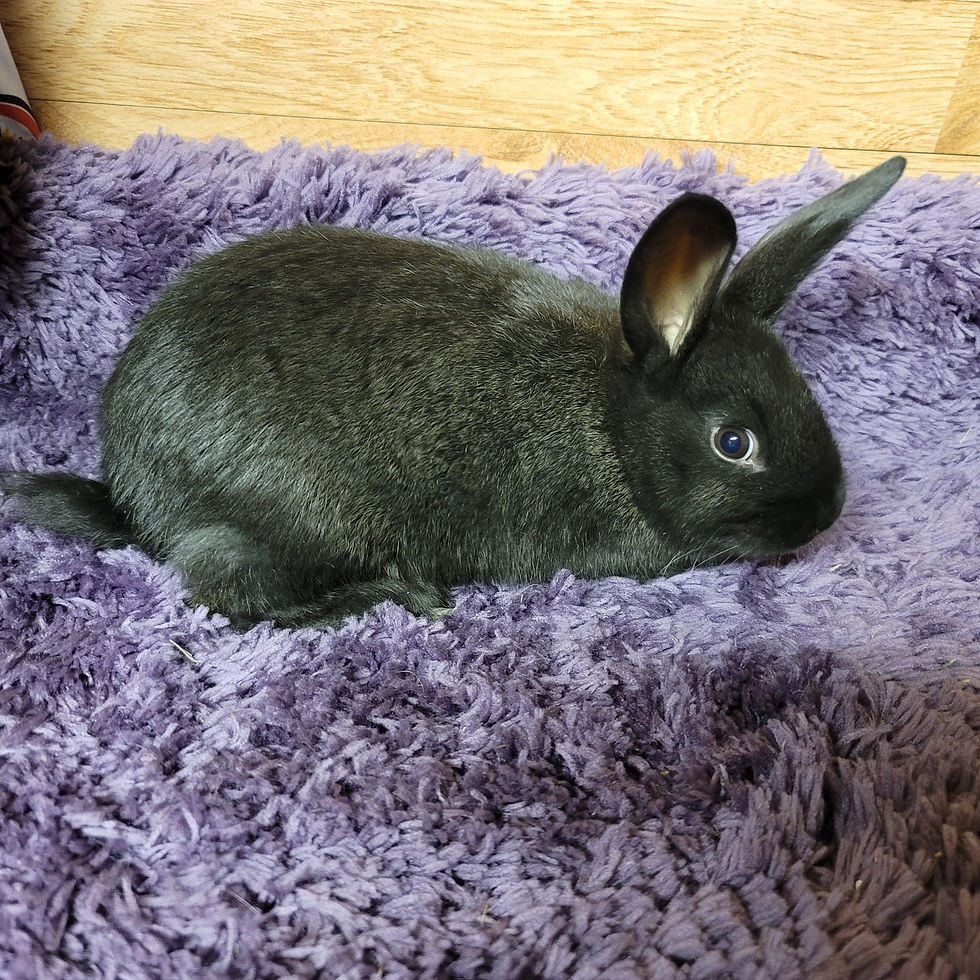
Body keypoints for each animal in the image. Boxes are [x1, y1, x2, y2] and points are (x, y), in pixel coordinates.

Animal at [2, 156, 906, 629]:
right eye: (733, 442)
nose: (827, 511)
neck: (610, 427)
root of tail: (132, 493)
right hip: (293, 522)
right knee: (230, 595)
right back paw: (402, 594)